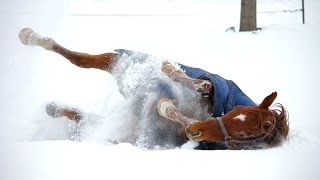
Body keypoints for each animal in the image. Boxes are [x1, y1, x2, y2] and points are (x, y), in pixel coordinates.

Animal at [19, 27, 290, 149]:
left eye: (244, 135)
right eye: (236, 112)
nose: (198, 131)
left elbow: (166, 108)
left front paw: (186, 121)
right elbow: (194, 83)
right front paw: (184, 78)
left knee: (86, 110)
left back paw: (53, 108)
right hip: (119, 61)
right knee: (78, 58)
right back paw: (29, 36)